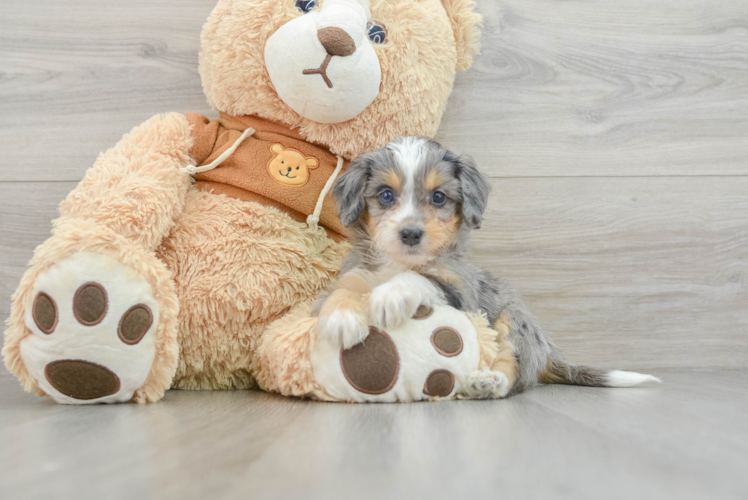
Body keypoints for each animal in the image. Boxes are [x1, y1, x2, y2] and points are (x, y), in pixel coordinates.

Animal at [318, 137, 656, 398]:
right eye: (386, 195)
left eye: (438, 197)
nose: (411, 233)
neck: (397, 262)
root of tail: (546, 353)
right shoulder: (354, 274)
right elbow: (340, 292)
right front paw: (341, 318)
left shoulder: (460, 295)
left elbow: (420, 278)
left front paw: (391, 294)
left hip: (514, 324)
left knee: (513, 371)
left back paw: (490, 383)